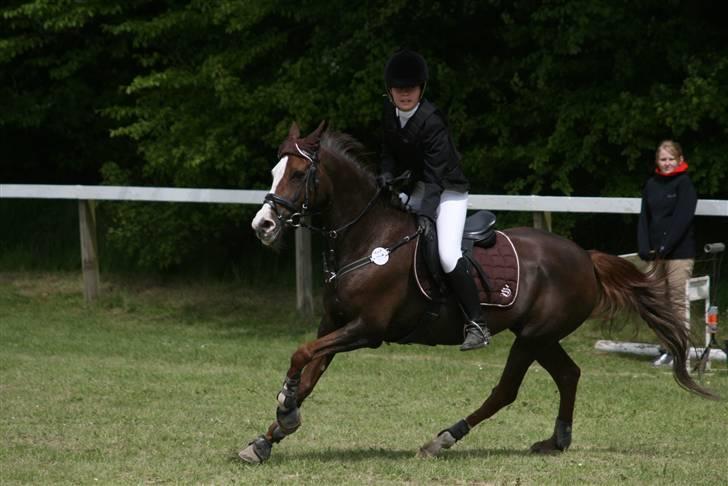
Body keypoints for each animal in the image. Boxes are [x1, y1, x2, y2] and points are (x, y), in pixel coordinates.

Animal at [241, 121, 716, 464]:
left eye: (298, 174)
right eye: (274, 172)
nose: (262, 225)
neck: (368, 239)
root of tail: (585, 256)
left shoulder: (367, 329)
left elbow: (301, 355)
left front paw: (284, 406)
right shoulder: (335, 323)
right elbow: (311, 372)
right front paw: (270, 435)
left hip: (532, 337)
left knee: (506, 391)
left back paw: (443, 439)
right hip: (541, 336)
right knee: (568, 374)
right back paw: (556, 440)